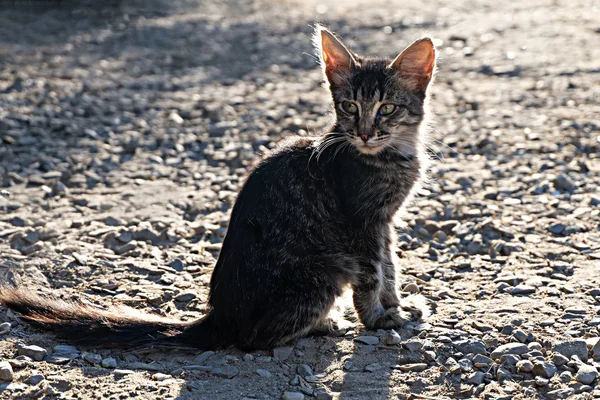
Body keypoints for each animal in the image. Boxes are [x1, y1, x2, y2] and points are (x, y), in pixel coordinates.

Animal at [0, 25, 436, 350]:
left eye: (387, 109)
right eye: (349, 107)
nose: (364, 133)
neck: (393, 155)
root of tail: (220, 317)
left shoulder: (385, 225)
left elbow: (390, 267)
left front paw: (396, 306)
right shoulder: (362, 224)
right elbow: (372, 275)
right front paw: (377, 319)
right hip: (322, 275)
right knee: (254, 339)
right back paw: (325, 324)